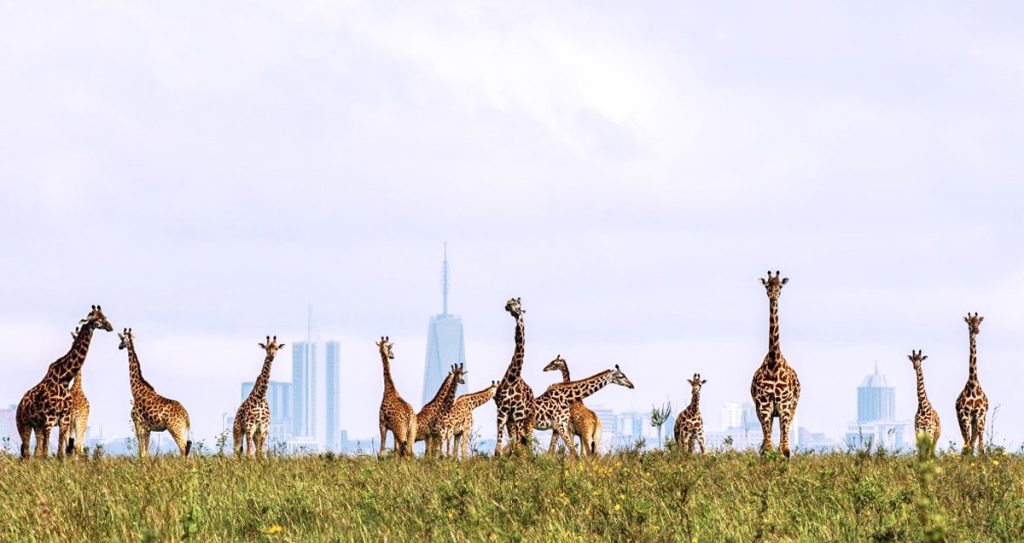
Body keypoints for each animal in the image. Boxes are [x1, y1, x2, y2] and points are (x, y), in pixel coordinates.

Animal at [16, 305, 113, 459]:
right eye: (97, 319)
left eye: (105, 317)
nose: (110, 327)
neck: (64, 379)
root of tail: (20, 404)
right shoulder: (49, 420)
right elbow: (46, 453)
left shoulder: (64, 419)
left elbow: (60, 453)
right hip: (23, 424)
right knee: (26, 452)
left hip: (37, 426)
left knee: (34, 452)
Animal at [118, 329, 192, 457]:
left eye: (122, 339)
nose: (119, 347)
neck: (135, 390)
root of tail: (186, 416)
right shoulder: (147, 428)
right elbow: (146, 452)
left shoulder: (139, 424)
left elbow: (142, 453)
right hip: (183, 430)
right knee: (188, 450)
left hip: (175, 429)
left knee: (183, 450)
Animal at [493, 297, 536, 455]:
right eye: (510, 302)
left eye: (518, 304)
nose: (508, 305)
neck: (513, 377)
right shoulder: (502, 413)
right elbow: (498, 450)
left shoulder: (518, 414)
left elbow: (517, 447)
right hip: (511, 421)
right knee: (518, 442)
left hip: (528, 419)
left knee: (526, 443)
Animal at [750, 270, 801, 457]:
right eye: (767, 285)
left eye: (780, 286)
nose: (773, 295)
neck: (773, 362)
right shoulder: (764, 406)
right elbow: (767, 449)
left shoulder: (785, 405)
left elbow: (784, 450)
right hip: (768, 412)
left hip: (792, 408)